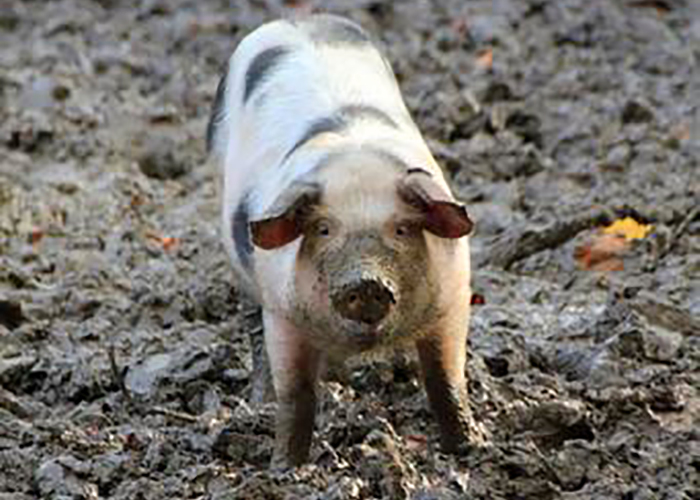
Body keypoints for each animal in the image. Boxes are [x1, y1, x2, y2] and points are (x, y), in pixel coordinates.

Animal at [207, 14, 480, 467]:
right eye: (323, 229)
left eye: (401, 229)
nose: (367, 283)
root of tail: (297, 19)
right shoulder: (282, 311)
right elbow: (296, 395)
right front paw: (285, 468)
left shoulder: (454, 296)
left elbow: (445, 379)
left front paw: (472, 448)